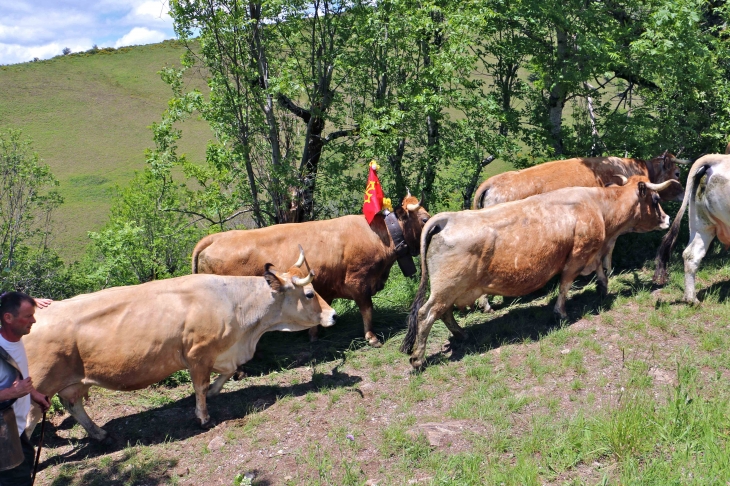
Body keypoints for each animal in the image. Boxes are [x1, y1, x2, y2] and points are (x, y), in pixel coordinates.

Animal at [191, 196, 430, 348]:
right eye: (425, 219)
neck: (378, 236)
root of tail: (215, 237)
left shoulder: (328, 285)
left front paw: (315, 334)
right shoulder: (358, 282)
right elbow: (368, 310)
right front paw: (371, 337)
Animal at [398, 177, 676, 370]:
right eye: (656, 200)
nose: (668, 219)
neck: (599, 209)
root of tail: (446, 218)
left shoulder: (593, 252)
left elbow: (599, 270)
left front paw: (603, 289)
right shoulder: (577, 254)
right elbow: (565, 284)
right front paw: (561, 312)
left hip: (449, 289)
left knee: (443, 313)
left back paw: (462, 333)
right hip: (446, 286)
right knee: (426, 314)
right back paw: (418, 359)